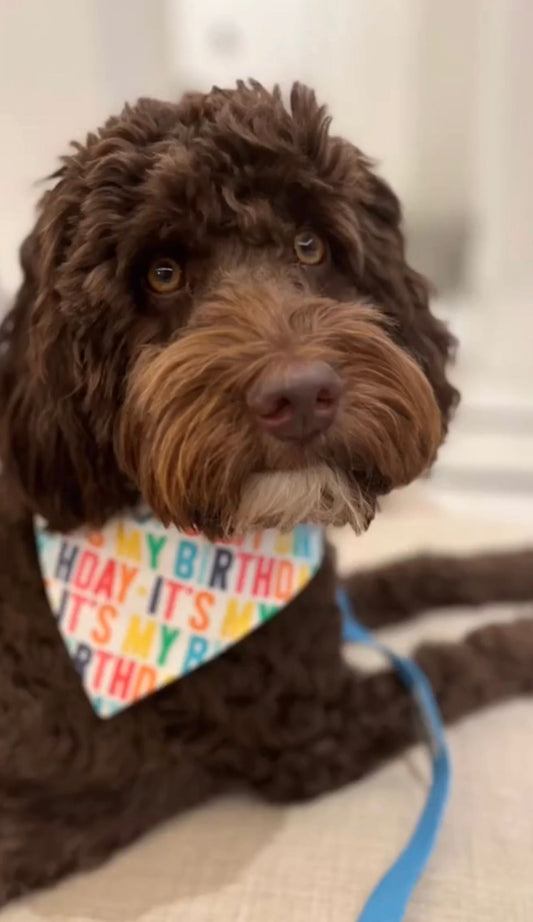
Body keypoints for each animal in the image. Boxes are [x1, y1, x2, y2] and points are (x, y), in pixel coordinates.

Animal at [1, 82, 532, 904]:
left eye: (311, 247)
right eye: (161, 273)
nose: (302, 396)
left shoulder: (314, 612)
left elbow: (422, 570)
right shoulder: (315, 730)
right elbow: (456, 665)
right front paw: (522, 639)